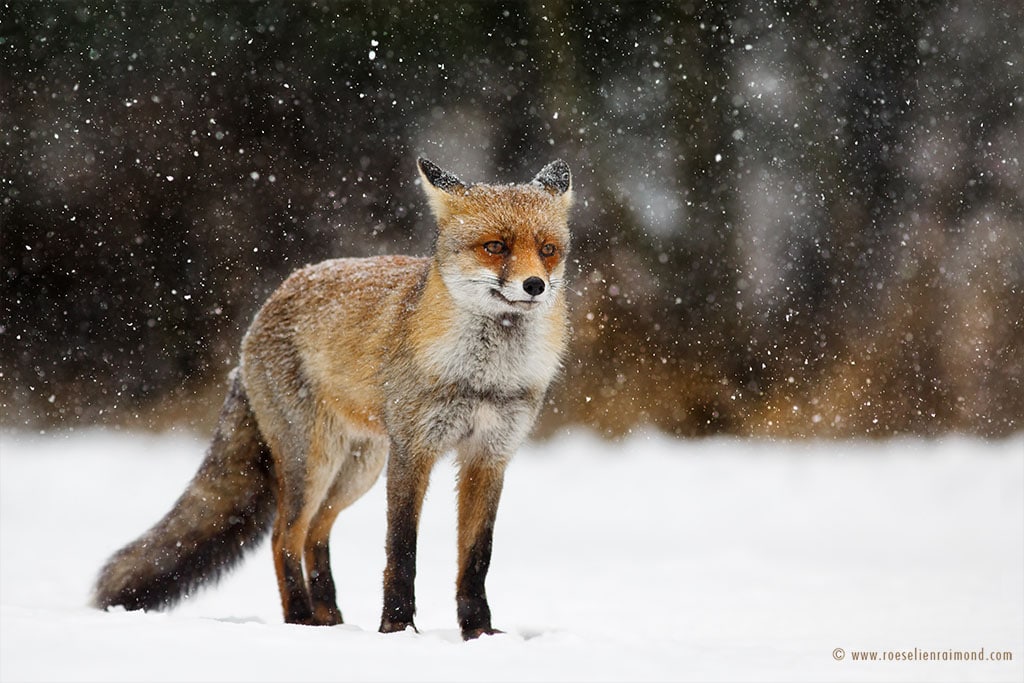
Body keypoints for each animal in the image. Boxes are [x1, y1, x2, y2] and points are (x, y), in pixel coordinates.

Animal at [94, 158, 577, 643]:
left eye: (548, 249)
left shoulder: (489, 455)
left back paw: (331, 619)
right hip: (314, 462)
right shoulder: (412, 452)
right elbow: (401, 550)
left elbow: (477, 557)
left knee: (315, 534)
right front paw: (397, 627)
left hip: (356, 471)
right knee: (284, 537)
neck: (483, 377)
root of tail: (262, 313)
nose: (535, 285)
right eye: (495, 246)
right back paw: (301, 618)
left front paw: (479, 632)